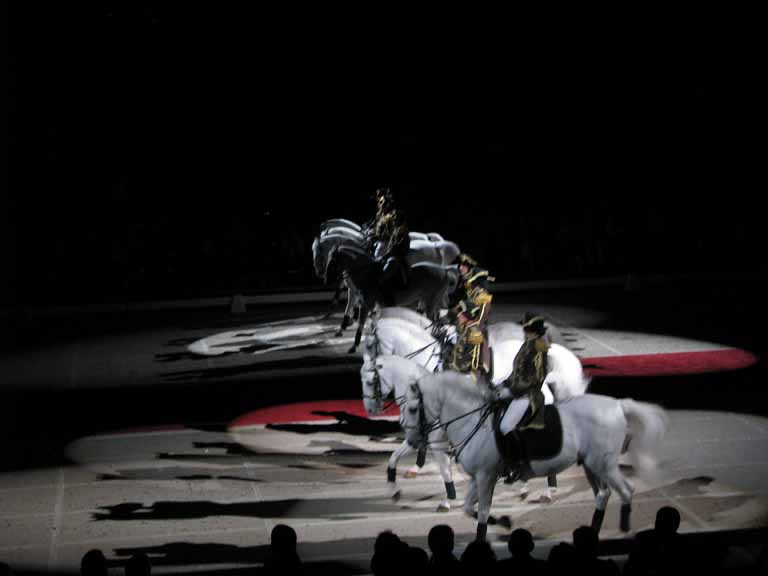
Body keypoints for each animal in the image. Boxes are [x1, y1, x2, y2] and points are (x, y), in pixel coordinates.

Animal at [360, 358, 456, 510]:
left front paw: (447, 502)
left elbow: (445, 471)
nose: (369, 409)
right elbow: (393, 458)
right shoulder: (414, 438)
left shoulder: (437, 444)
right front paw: (394, 490)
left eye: (369, 382)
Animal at [400, 368, 668, 540]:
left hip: (605, 466)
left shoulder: (486, 476)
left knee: (626, 491)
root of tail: (617, 405)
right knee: (603, 495)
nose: (413, 441)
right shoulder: (478, 477)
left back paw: (624, 530)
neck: (472, 419)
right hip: (592, 466)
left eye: (413, 409)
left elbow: (482, 513)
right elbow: (468, 508)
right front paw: (504, 521)